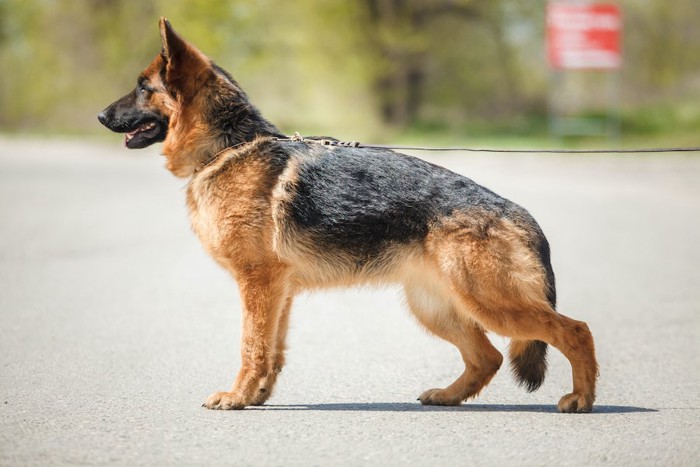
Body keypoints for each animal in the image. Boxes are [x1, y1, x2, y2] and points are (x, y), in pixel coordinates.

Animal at [98, 18, 600, 414]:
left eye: (143, 88)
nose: (100, 115)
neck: (228, 146)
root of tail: (520, 213)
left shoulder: (258, 283)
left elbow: (252, 346)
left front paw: (238, 397)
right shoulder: (277, 291)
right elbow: (272, 350)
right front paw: (257, 396)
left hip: (489, 303)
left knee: (576, 330)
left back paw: (582, 399)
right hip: (437, 307)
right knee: (487, 358)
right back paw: (448, 396)